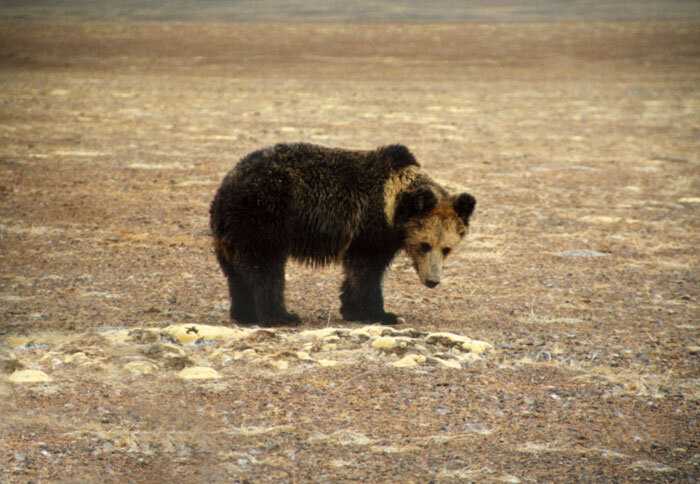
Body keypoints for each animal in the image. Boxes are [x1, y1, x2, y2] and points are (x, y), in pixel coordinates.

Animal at [209, 143, 476, 326]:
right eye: (424, 245)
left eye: (447, 249)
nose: (432, 281)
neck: (394, 209)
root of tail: (227, 185)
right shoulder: (370, 227)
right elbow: (366, 272)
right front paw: (382, 313)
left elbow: (356, 273)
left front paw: (352, 310)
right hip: (265, 217)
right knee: (266, 269)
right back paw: (281, 315)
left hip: (230, 235)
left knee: (237, 273)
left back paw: (244, 314)